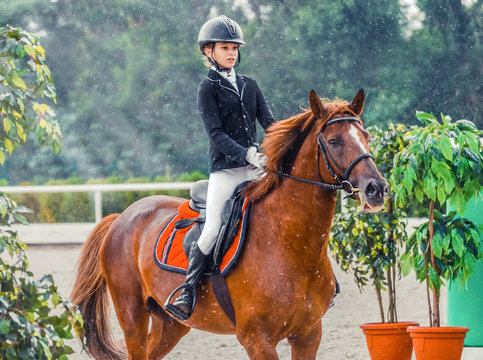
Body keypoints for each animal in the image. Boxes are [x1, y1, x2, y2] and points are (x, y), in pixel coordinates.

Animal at [72, 88, 388, 358]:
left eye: (366, 136)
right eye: (334, 141)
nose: (377, 188)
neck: (290, 244)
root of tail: (122, 216)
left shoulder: (308, 335)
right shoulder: (257, 339)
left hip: (170, 324)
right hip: (132, 316)